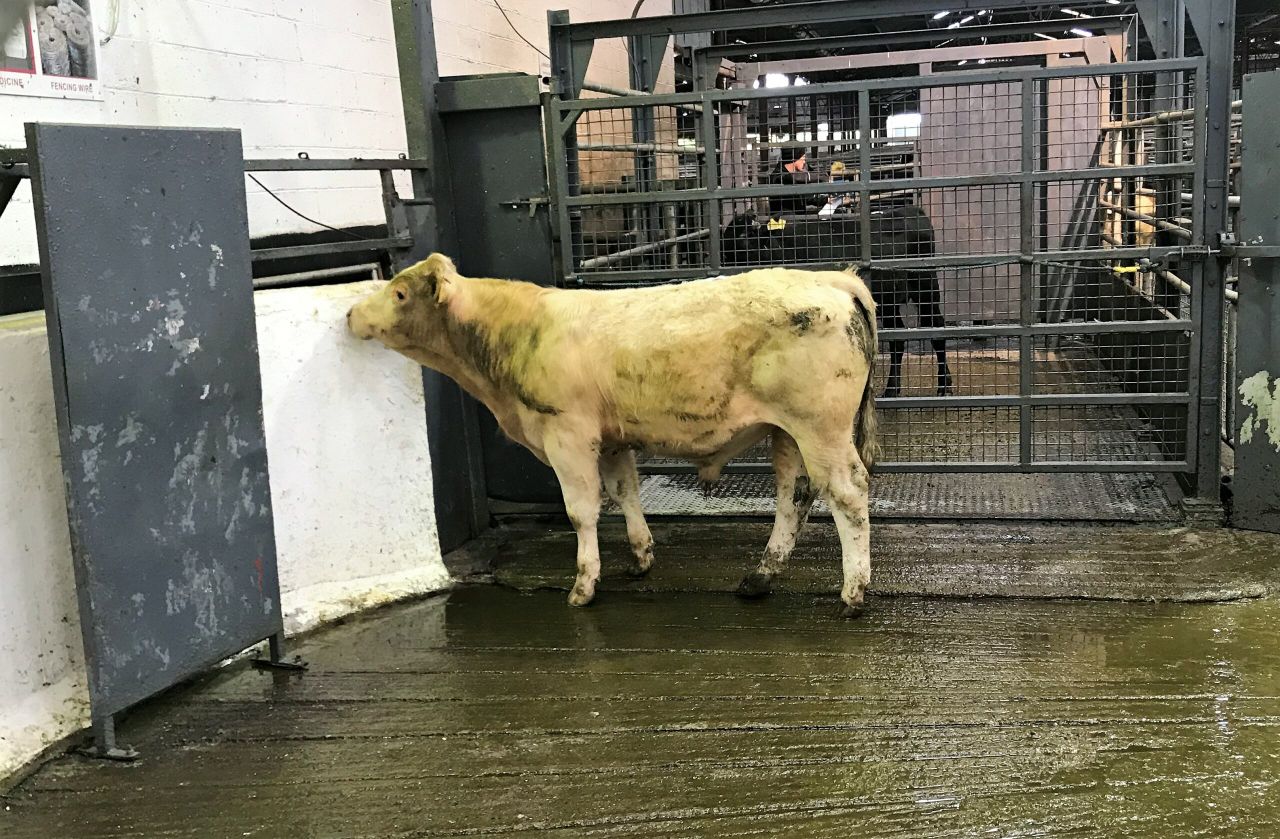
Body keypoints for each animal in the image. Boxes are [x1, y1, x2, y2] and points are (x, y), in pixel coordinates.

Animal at [347, 253, 880, 617]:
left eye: (399, 293)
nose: (351, 313)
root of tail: (829, 277)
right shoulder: (611, 439)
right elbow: (625, 491)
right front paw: (641, 557)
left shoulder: (566, 435)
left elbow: (581, 511)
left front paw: (583, 586)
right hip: (786, 433)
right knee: (795, 496)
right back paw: (760, 576)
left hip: (821, 429)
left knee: (847, 493)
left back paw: (853, 593)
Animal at [721, 205, 953, 398]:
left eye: (746, 236)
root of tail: (911, 209)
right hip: (888, 302)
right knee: (897, 339)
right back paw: (891, 390)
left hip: (926, 287)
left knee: (935, 329)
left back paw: (944, 386)